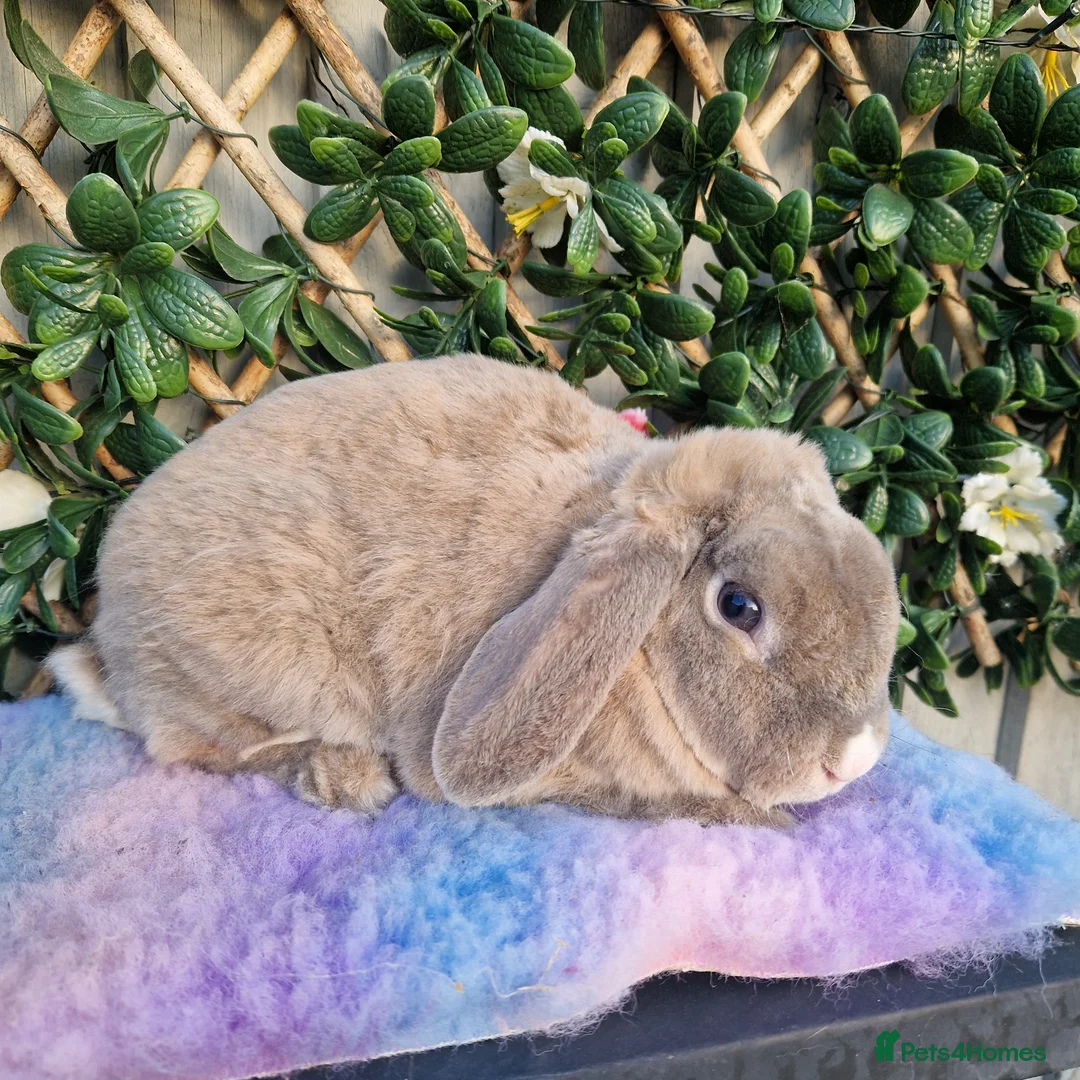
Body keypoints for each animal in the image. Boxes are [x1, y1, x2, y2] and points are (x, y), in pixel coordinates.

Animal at [50, 353, 899, 827]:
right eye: (738, 606)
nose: (854, 761)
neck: (641, 654)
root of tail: (110, 643)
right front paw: (757, 823)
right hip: (273, 665)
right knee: (203, 749)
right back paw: (345, 778)